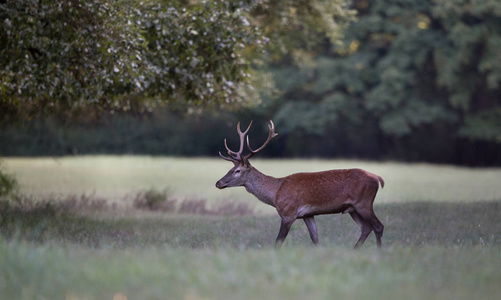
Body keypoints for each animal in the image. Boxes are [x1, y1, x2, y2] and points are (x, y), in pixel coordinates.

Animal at [214, 120, 382, 248]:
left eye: (237, 170)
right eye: (230, 168)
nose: (218, 183)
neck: (275, 193)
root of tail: (378, 178)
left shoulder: (289, 213)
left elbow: (278, 242)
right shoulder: (307, 214)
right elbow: (315, 239)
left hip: (364, 203)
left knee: (378, 226)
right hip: (353, 208)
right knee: (366, 227)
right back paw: (355, 250)